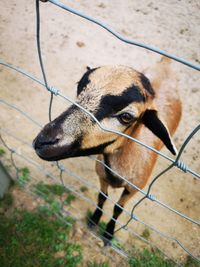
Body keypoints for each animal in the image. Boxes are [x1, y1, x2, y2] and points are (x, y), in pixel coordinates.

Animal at [32, 57, 181, 245]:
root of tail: (166, 62)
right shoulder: (102, 175)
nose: (44, 141)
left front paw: (109, 233)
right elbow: (101, 197)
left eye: (126, 117)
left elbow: (118, 209)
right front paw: (94, 220)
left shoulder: (133, 190)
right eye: (79, 87)